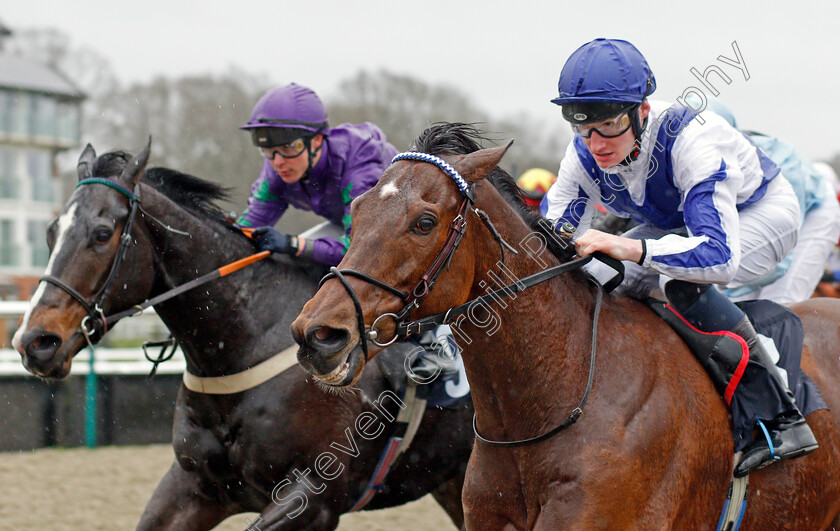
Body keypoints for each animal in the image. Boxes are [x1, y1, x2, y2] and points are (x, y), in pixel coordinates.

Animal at [11, 141, 472, 531]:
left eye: (102, 234)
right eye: (50, 233)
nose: (34, 342)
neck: (245, 342)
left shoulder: (314, 500)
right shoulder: (194, 486)